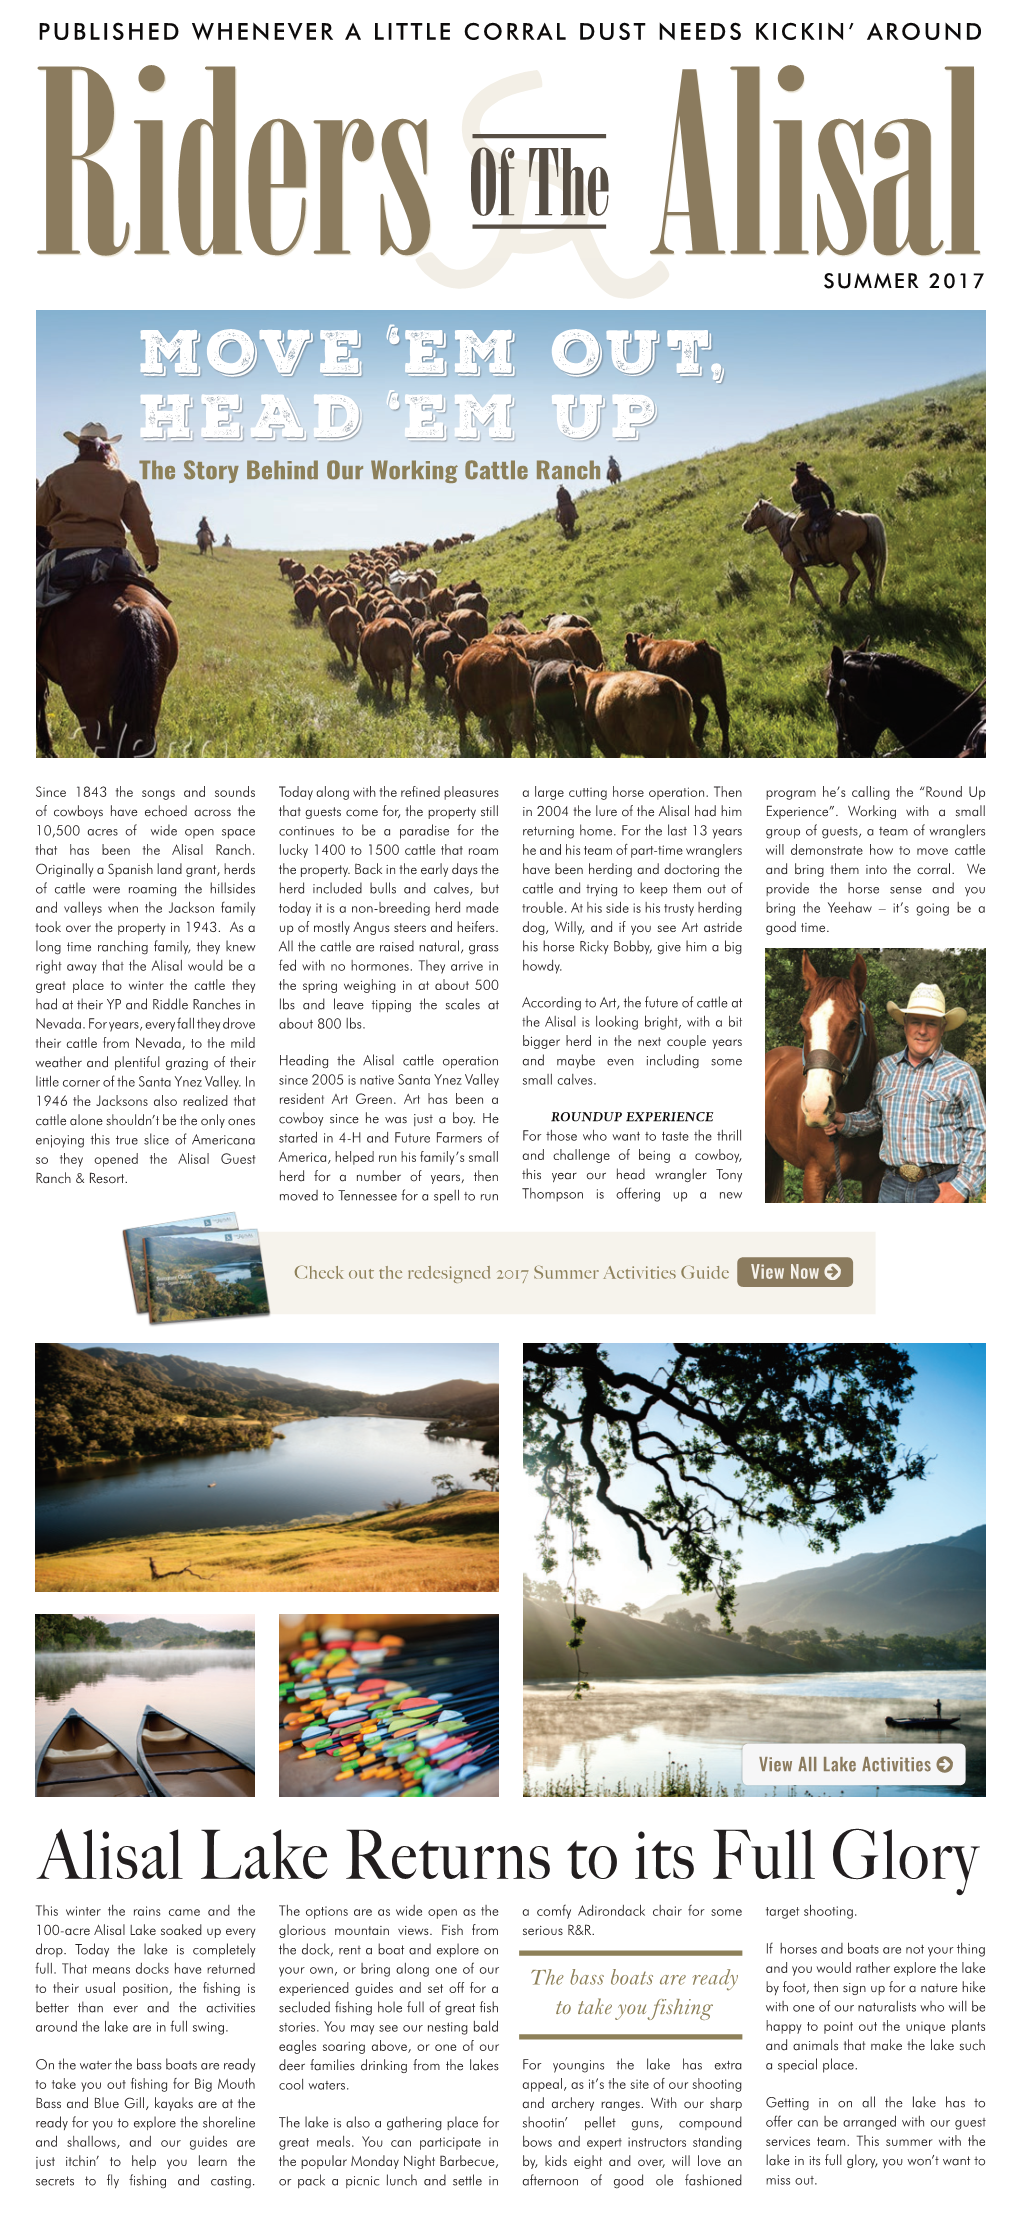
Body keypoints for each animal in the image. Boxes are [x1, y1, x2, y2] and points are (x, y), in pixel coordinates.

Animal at [570, 663, 699, 760]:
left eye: (572, 686)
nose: (575, 706)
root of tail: (664, 683)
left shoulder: (603, 742)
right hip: (678, 745)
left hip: (652, 750)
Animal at [739, 498, 886, 609]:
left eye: (753, 512)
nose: (744, 526)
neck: (784, 530)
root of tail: (861, 517)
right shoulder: (796, 566)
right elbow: (792, 583)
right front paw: (791, 602)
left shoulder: (798, 566)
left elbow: (808, 583)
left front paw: (820, 603)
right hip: (863, 551)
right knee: (871, 573)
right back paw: (871, 598)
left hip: (843, 555)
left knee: (854, 572)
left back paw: (843, 598)